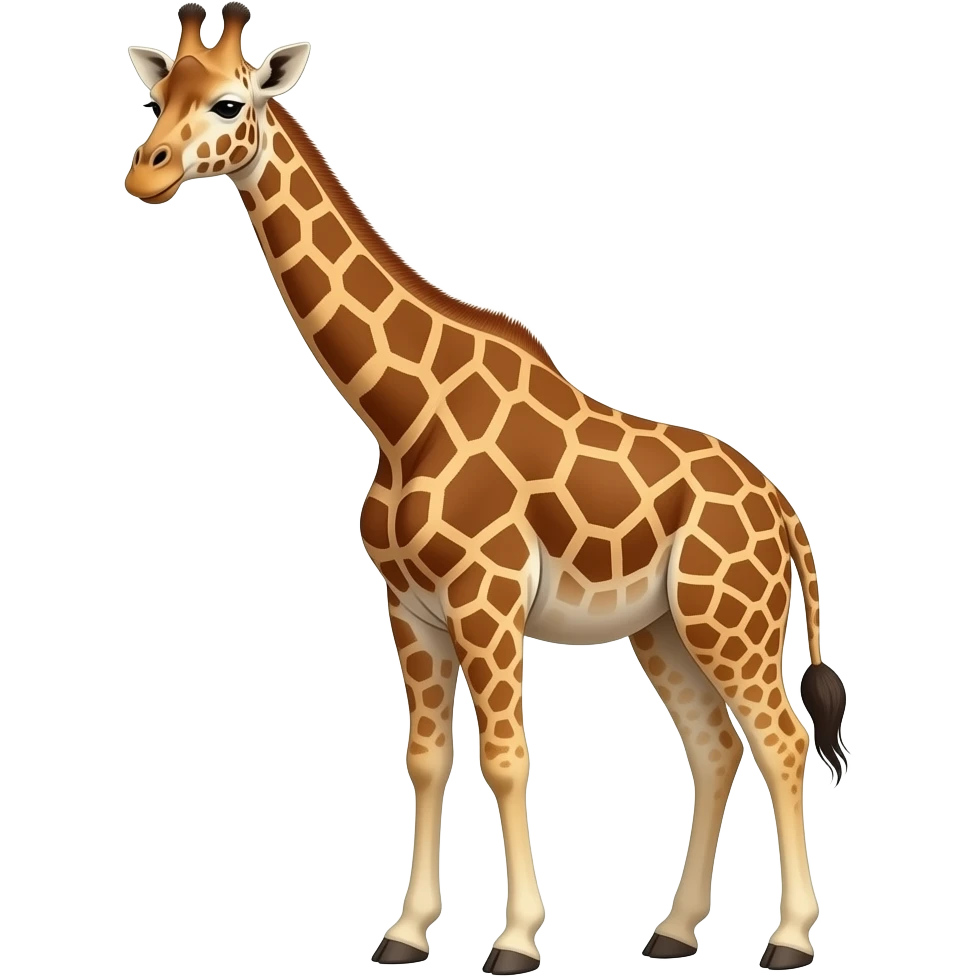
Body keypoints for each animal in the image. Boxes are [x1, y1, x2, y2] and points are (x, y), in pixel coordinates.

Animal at [124, 5, 849, 972]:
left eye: (230, 101)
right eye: (158, 95)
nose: (146, 172)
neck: (399, 417)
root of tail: (783, 509)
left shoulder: (486, 596)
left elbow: (506, 756)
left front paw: (514, 939)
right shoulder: (408, 606)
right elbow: (426, 756)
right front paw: (405, 932)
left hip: (727, 619)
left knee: (781, 737)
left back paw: (789, 939)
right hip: (662, 626)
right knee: (713, 743)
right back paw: (672, 928)